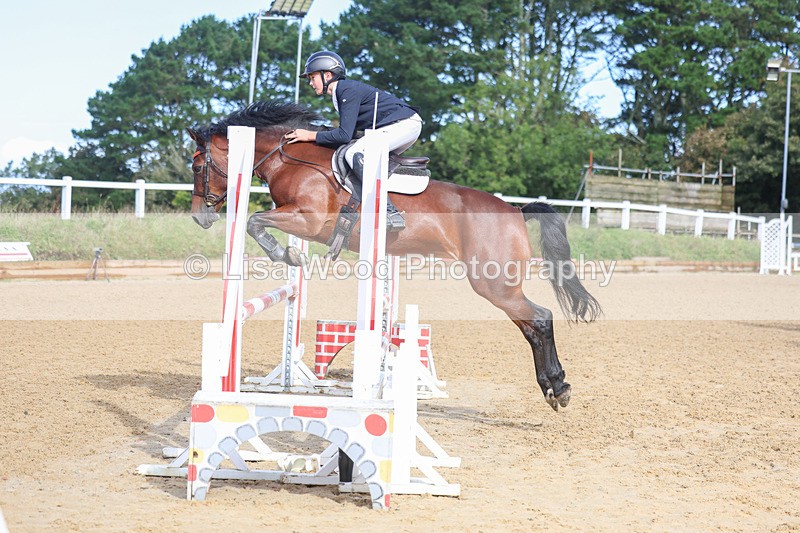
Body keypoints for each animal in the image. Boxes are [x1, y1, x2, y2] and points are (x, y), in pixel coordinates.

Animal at [187, 101, 601, 411]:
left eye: (197, 165)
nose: (199, 217)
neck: (289, 158)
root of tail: (515, 211)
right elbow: (257, 221)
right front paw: (287, 254)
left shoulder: (309, 220)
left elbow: (254, 221)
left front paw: (286, 254)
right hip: (498, 285)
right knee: (531, 326)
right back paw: (554, 387)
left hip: (495, 284)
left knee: (541, 319)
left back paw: (558, 388)